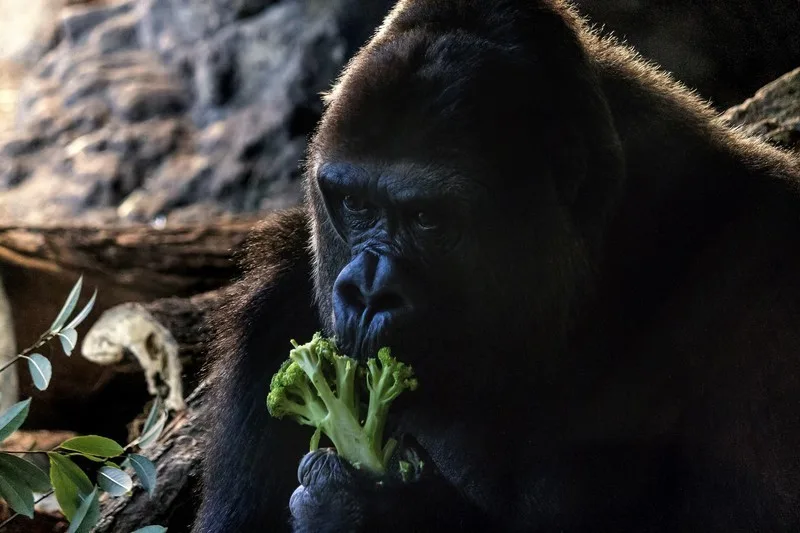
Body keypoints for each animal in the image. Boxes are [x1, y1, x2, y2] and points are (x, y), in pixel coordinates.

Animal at [195, 1, 800, 531]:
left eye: (427, 219)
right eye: (356, 205)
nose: (368, 294)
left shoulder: (768, 270)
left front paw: (380, 509)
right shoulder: (275, 304)